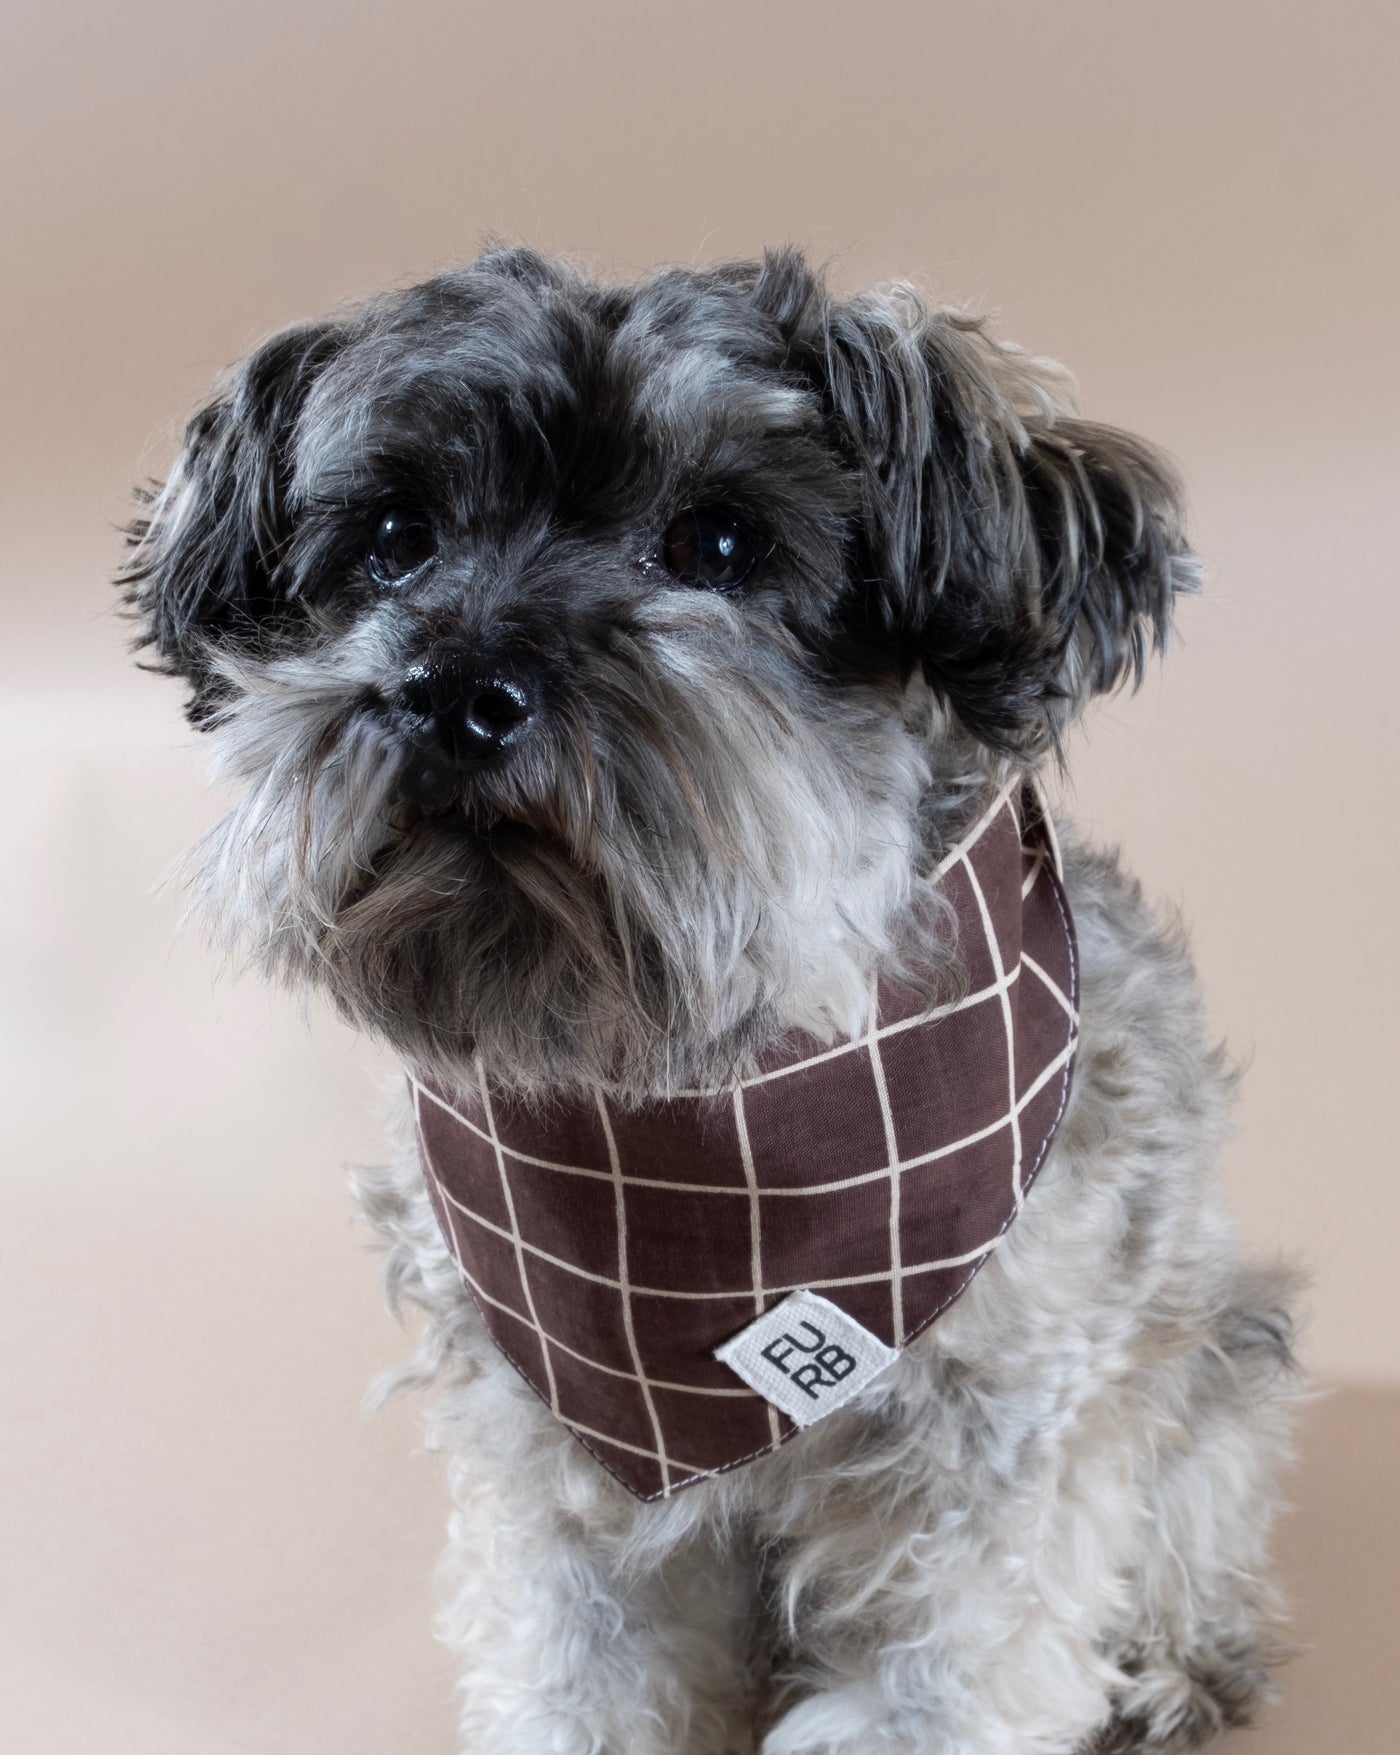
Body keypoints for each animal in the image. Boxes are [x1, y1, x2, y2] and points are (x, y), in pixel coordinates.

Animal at [123, 250, 1305, 1755]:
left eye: (721, 546)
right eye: (395, 538)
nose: (453, 689)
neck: (702, 1106)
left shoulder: (996, 1463)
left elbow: (949, 1680)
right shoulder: (542, 1458)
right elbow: (575, 1667)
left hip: (1214, 1365)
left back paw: (1169, 1665)